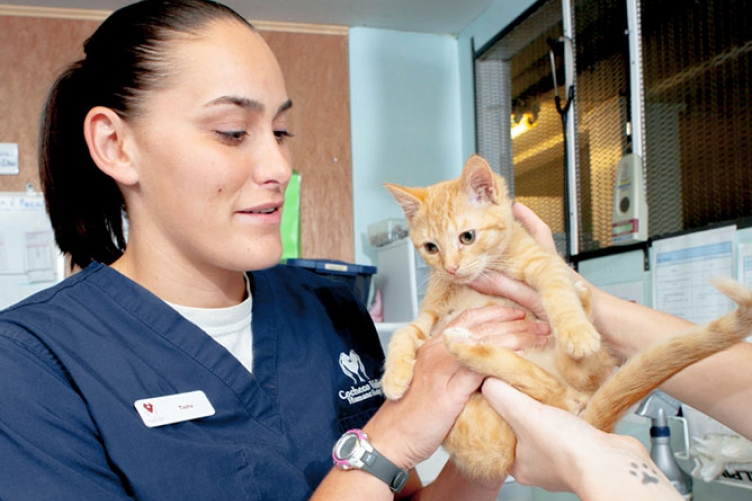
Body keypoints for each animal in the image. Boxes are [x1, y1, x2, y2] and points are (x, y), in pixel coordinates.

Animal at [382, 153, 752, 480]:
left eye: (467, 236)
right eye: (430, 248)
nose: (450, 268)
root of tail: (582, 412)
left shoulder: (545, 263)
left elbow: (558, 290)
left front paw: (576, 330)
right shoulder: (430, 316)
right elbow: (404, 333)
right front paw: (394, 378)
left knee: (563, 381)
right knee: (550, 388)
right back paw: (467, 345)